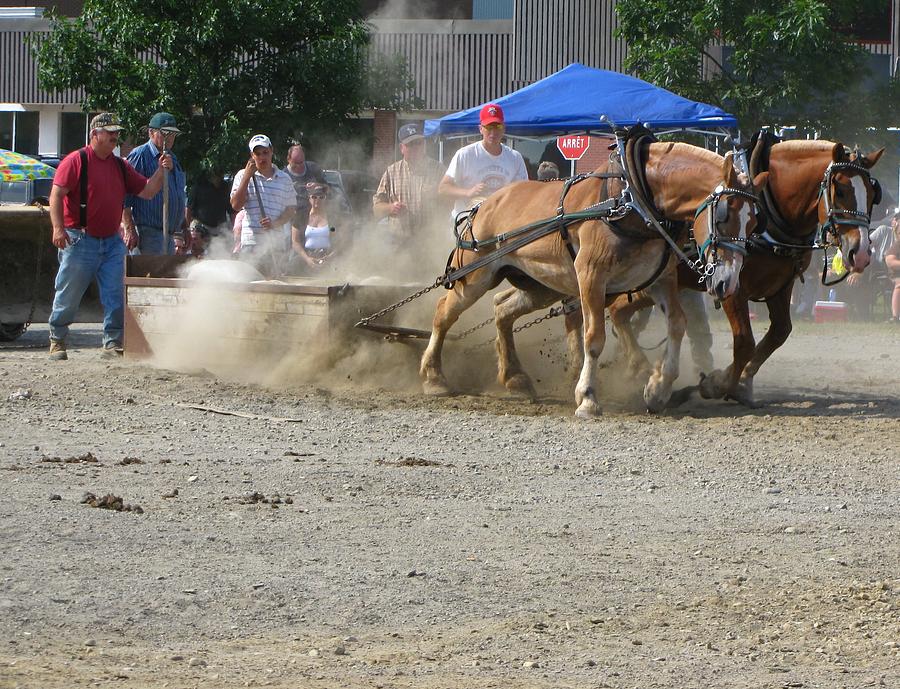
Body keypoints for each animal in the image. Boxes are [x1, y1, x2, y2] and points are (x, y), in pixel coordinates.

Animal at [420, 132, 768, 416]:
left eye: (754, 222)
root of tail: (484, 204)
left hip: (541, 286)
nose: (726, 282)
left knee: (502, 310)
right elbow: (593, 337)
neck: (631, 199)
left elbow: (678, 324)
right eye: (722, 215)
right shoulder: (590, 276)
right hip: (474, 277)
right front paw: (587, 397)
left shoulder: (661, 281)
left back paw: (515, 379)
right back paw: (435, 377)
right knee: (443, 313)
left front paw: (657, 388)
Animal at [608, 134, 884, 404]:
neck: (771, 214)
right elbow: (744, 342)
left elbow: (780, 332)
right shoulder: (731, 287)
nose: (860, 253)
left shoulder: (781, 286)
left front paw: (742, 381)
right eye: (842, 190)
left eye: (873, 194)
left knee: (619, 311)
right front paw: (718, 384)